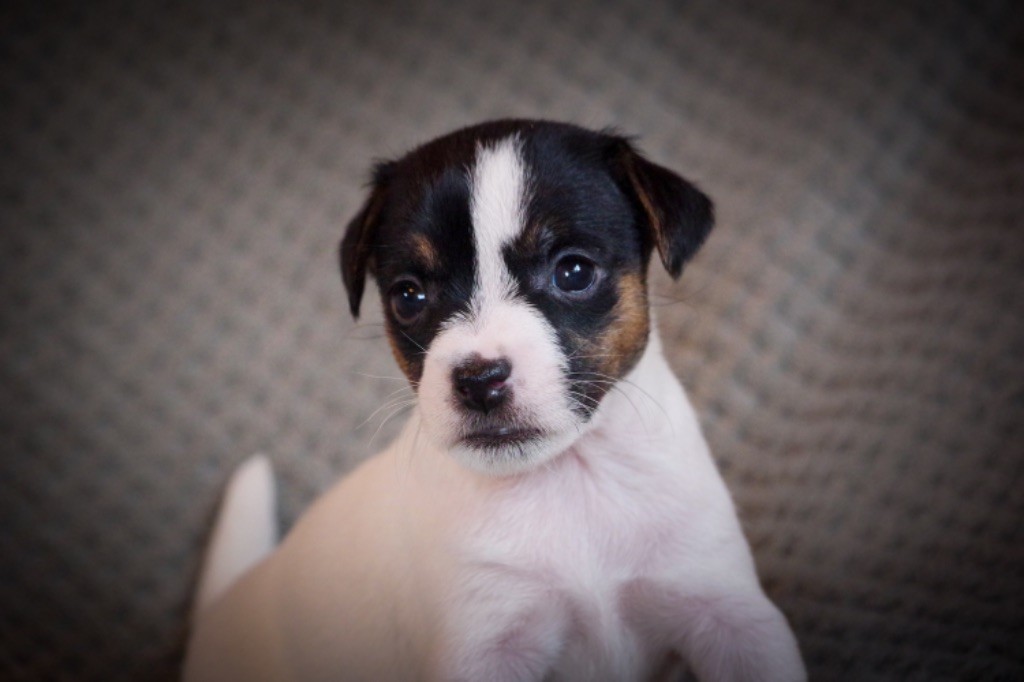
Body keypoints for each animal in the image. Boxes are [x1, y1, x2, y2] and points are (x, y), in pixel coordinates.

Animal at [183, 120, 806, 681]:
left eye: (573, 271)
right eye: (409, 296)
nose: (479, 379)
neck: (566, 480)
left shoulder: (725, 611)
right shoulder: (484, 641)